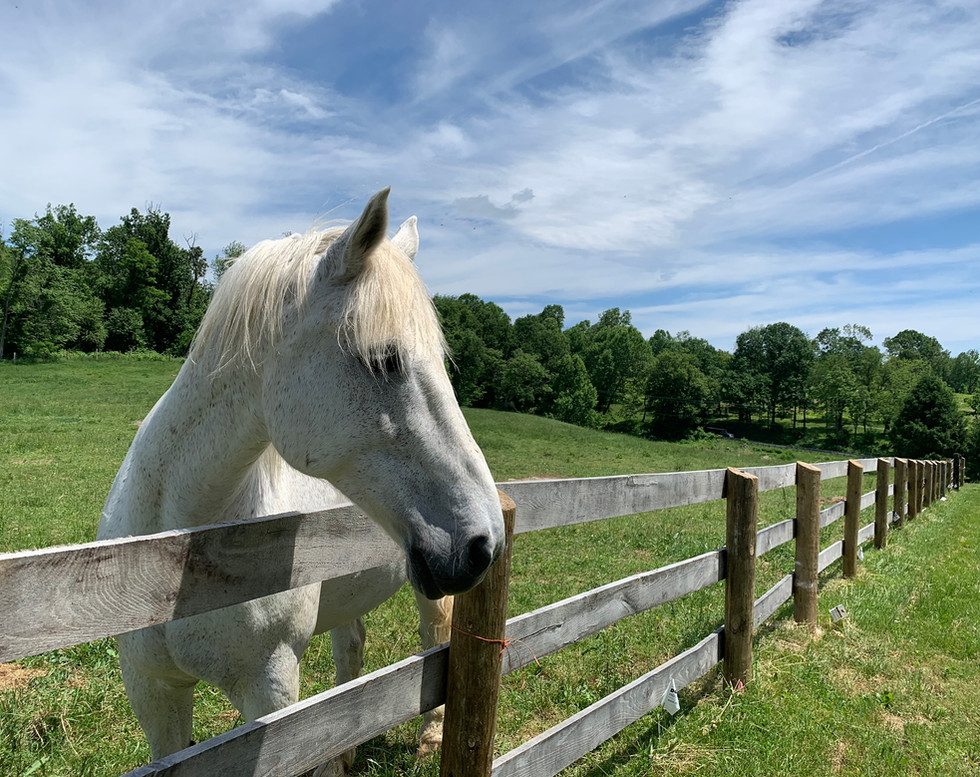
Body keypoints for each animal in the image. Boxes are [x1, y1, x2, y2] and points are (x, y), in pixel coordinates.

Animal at [97, 189, 505, 776]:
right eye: (385, 359)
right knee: (350, 651)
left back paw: (429, 737)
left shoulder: (269, 695)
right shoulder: (154, 693)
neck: (179, 547)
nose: (484, 544)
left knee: (436, 635)